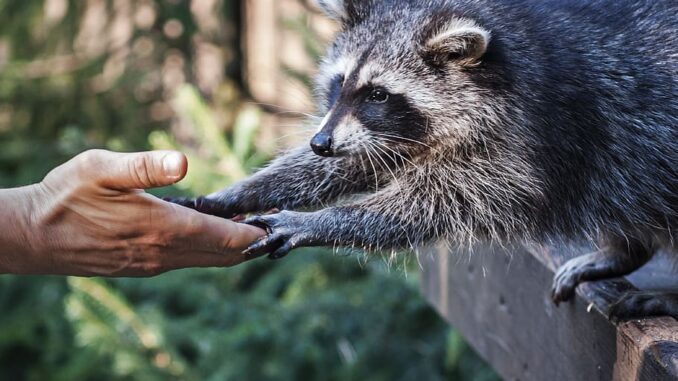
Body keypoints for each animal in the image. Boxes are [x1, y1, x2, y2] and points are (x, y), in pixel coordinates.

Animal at [171, 0, 678, 320]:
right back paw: (625, 251)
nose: (320, 143)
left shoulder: (530, 138)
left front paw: (319, 221)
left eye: (378, 93)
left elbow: (442, 203)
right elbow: (361, 160)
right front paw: (241, 190)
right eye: (340, 83)